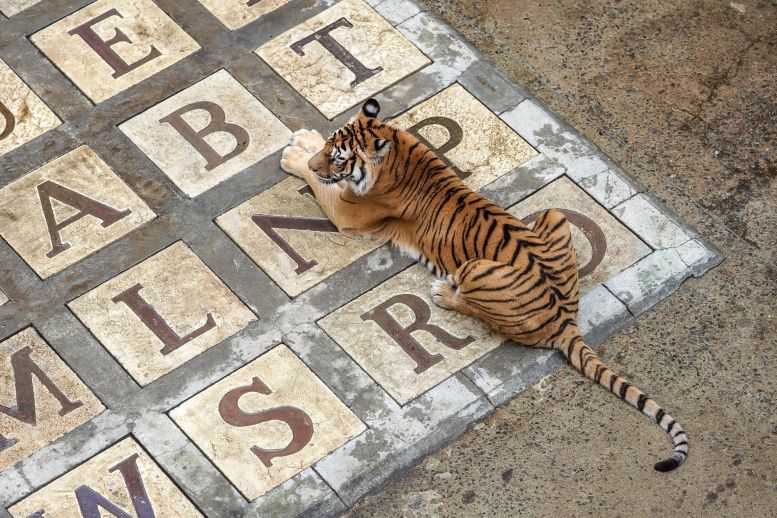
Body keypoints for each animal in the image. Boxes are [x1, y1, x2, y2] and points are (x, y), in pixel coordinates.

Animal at [279, 98, 688, 472]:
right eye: (331, 147)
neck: (394, 146)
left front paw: (293, 157)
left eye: (340, 159)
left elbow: (319, 185)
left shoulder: (347, 212)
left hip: (475, 268)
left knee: (482, 313)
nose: (317, 162)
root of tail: (566, 318)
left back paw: (444, 293)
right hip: (551, 214)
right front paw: (305, 142)